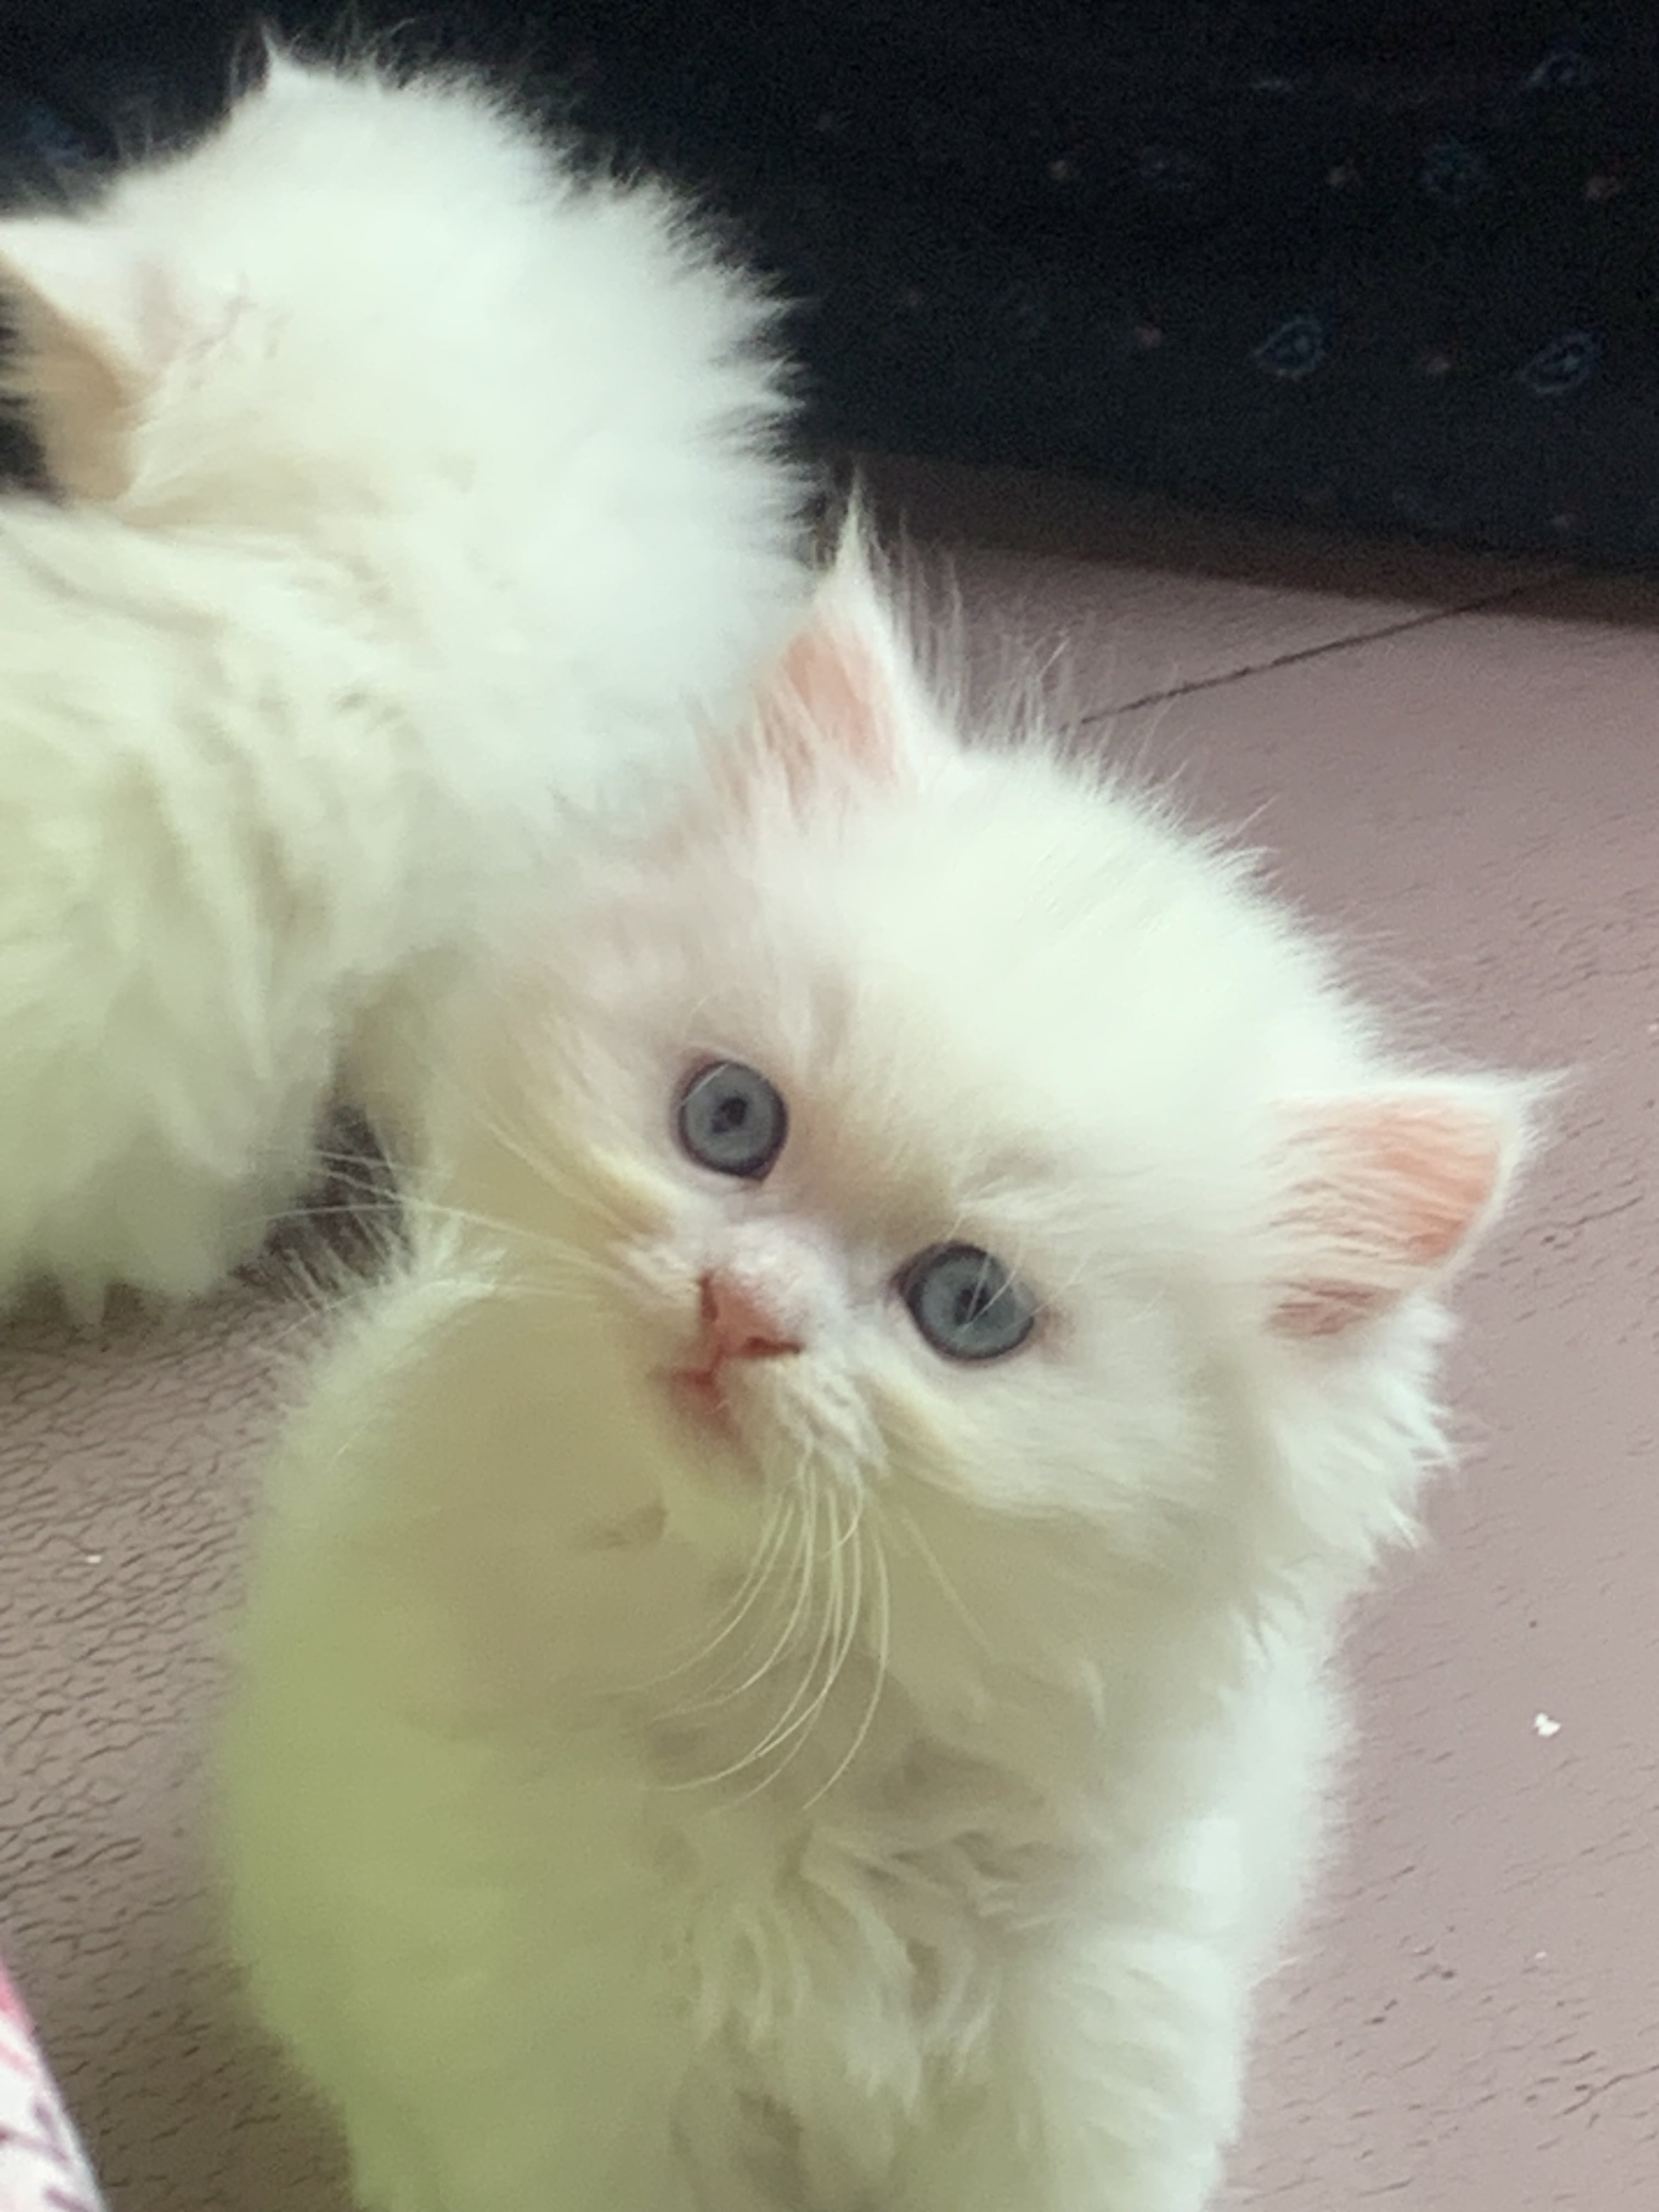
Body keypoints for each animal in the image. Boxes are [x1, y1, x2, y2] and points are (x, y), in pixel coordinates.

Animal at [221, 513, 1548, 2212]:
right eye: (729, 1122)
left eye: (967, 1307)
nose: (742, 1305)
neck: (787, 1707)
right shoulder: (559, 2072)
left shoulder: (1086, 2077)